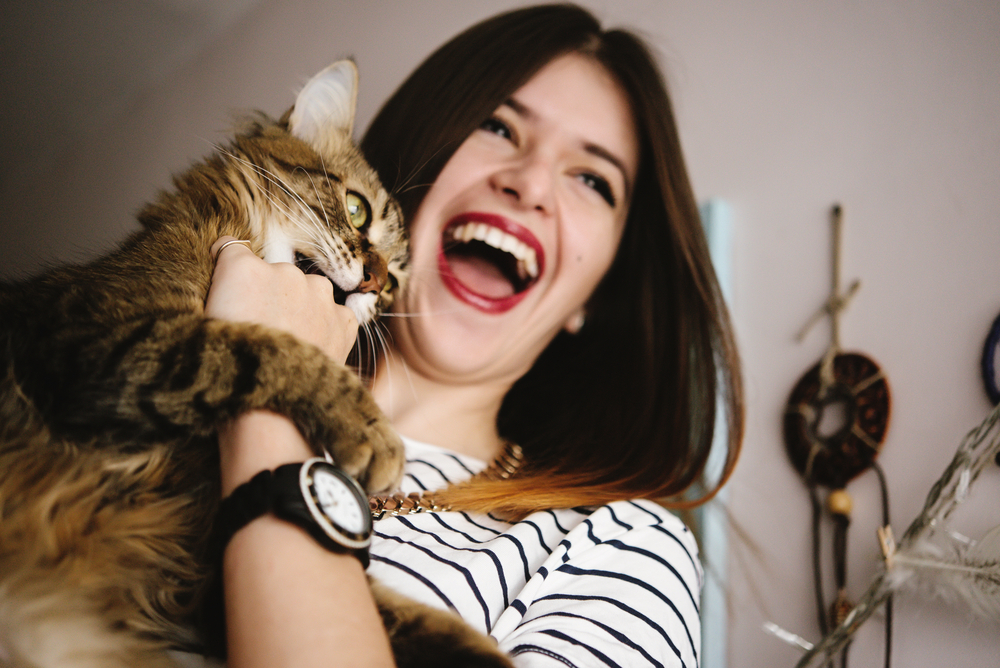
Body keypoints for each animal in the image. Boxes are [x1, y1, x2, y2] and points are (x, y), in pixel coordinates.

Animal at [0, 61, 512, 668]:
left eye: (394, 283)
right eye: (357, 209)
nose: (373, 282)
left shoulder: (204, 563)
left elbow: (400, 618)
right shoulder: (92, 340)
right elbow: (264, 347)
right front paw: (372, 432)